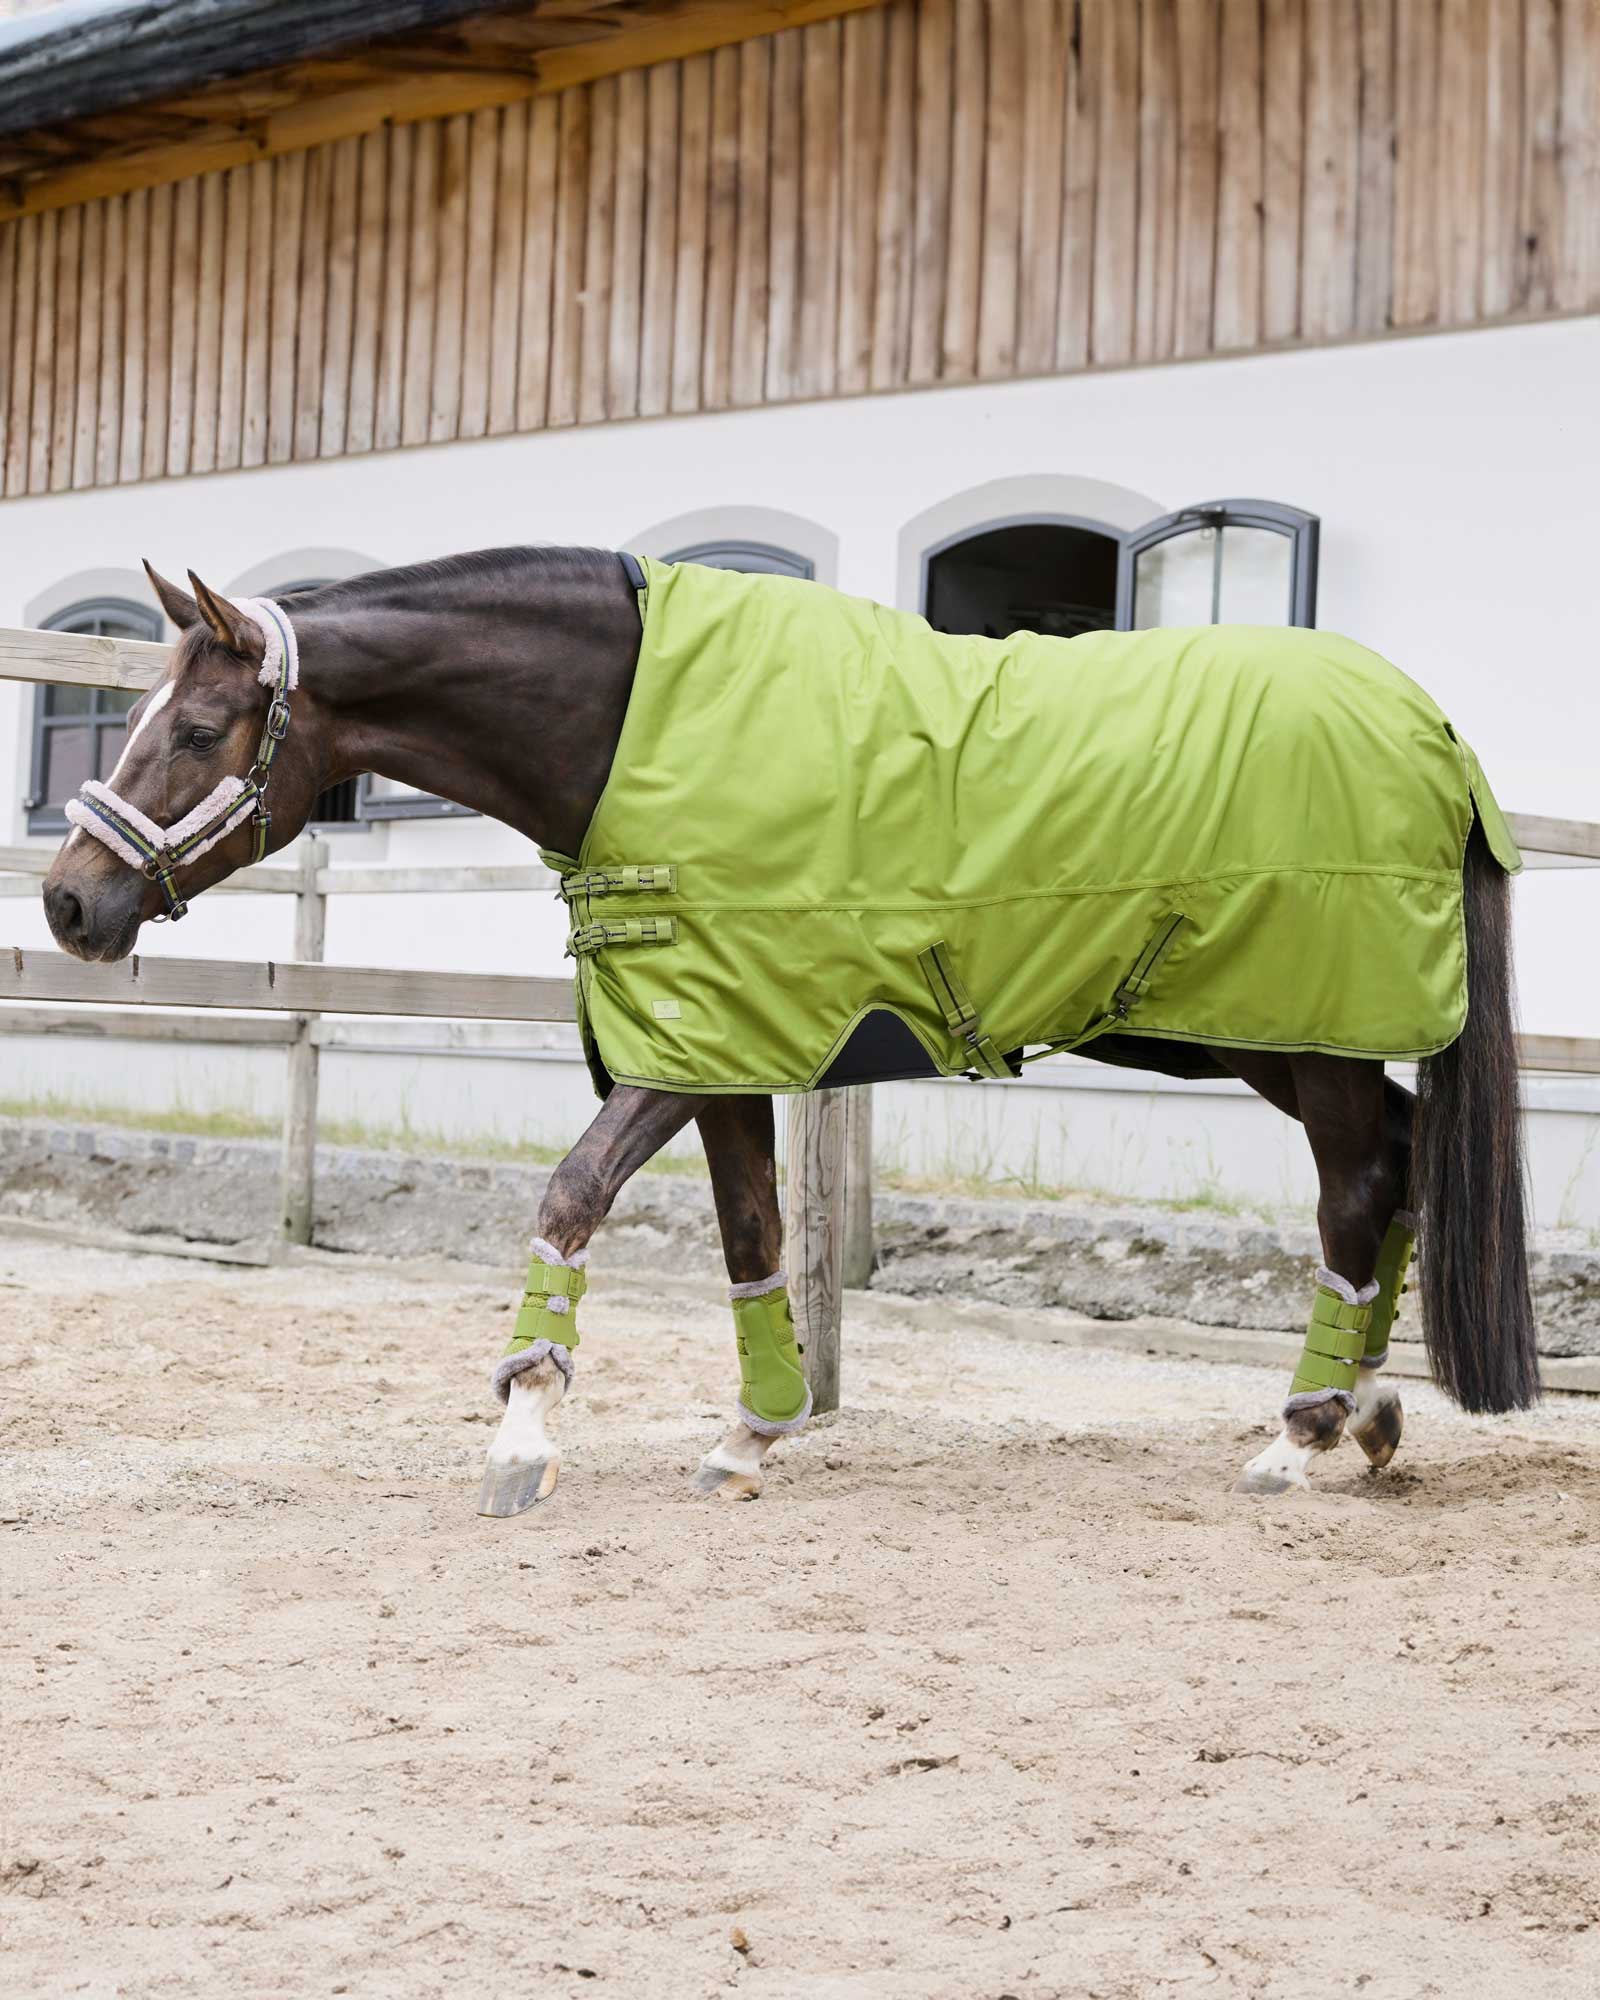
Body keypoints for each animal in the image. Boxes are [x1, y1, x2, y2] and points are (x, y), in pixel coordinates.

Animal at [40, 548, 1536, 1512]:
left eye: (200, 726)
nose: (68, 900)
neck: (640, 723)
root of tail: (1436, 730)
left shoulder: (690, 1044)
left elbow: (571, 1193)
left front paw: (522, 1428)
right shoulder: (721, 1050)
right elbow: (752, 1239)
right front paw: (754, 1434)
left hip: (1307, 1037)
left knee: (1359, 1187)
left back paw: (1302, 1433)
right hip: (1264, 1037)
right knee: (1403, 1159)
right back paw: (1368, 1414)